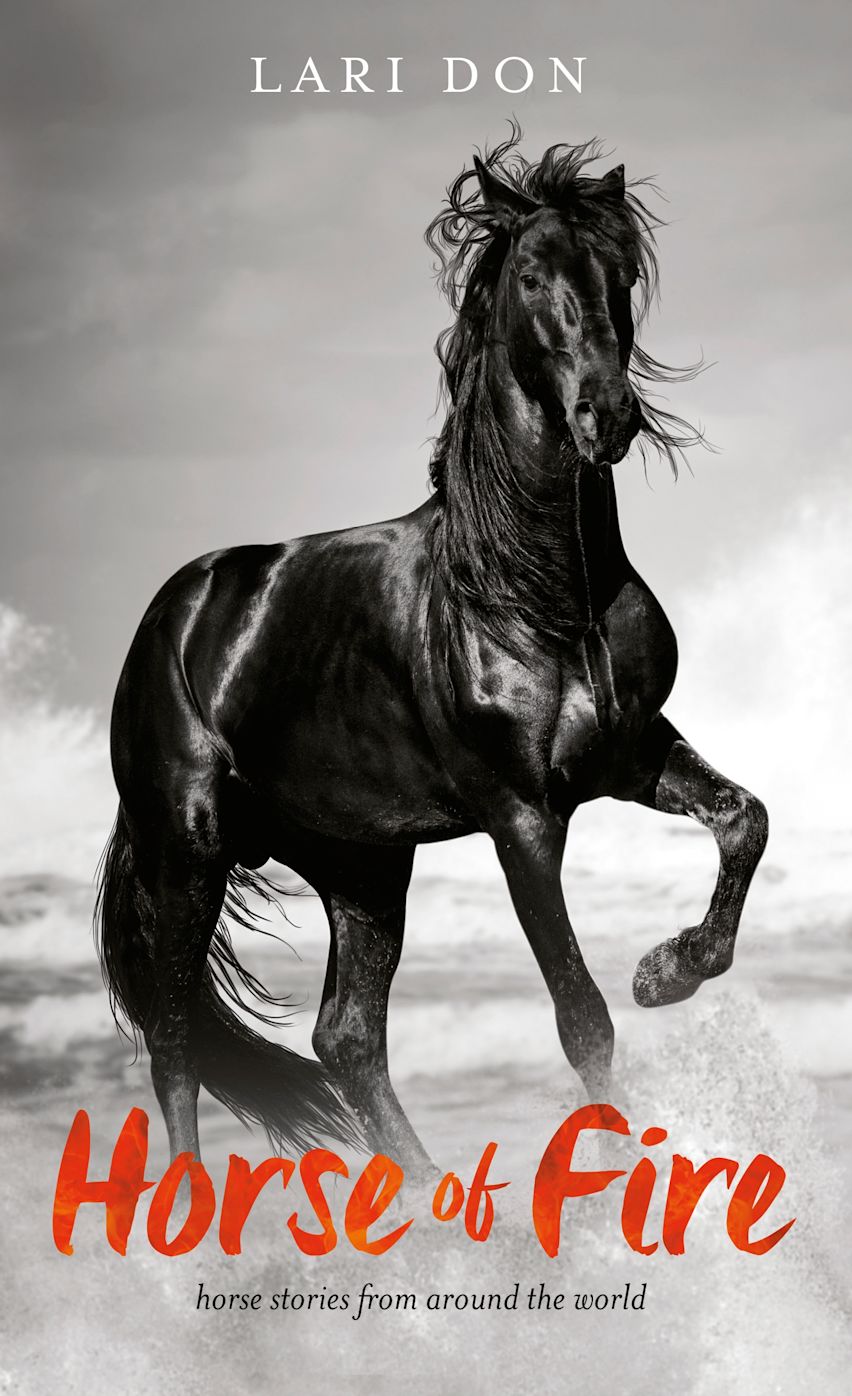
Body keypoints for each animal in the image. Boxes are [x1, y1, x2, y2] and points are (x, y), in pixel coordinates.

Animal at [96, 130, 768, 1182]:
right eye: (531, 274)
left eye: (619, 272)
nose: (607, 415)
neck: (537, 592)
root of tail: (174, 615)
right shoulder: (521, 816)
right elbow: (581, 1018)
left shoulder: (633, 755)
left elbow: (745, 821)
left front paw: (667, 971)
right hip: (188, 847)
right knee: (175, 1046)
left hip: (362, 866)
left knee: (346, 1038)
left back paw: (433, 1207)